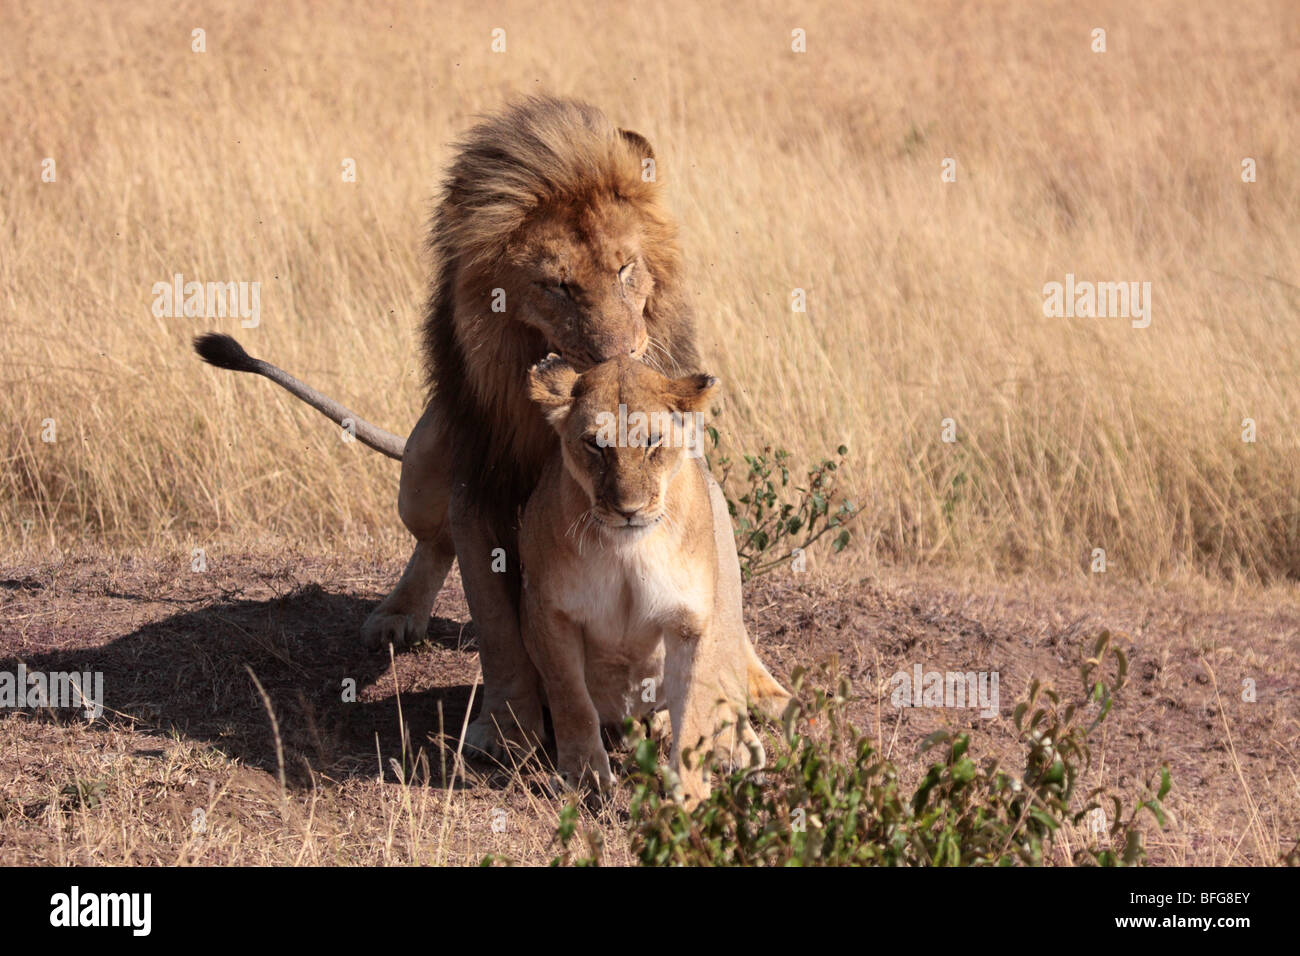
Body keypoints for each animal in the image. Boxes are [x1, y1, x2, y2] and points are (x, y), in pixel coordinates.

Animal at [195, 96, 768, 760]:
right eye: (557, 285)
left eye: (627, 269)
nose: (622, 358)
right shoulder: (479, 478)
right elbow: (498, 623)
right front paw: (507, 725)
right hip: (423, 466)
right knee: (432, 541)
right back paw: (397, 616)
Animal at [521, 355, 790, 805]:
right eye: (595, 444)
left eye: (652, 442)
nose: (628, 510)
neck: (627, 550)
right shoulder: (548, 612)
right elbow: (572, 699)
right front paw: (585, 775)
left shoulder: (692, 623)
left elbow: (695, 713)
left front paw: (691, 797)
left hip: (728, 615)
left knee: (731, 697)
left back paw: (733, 750)